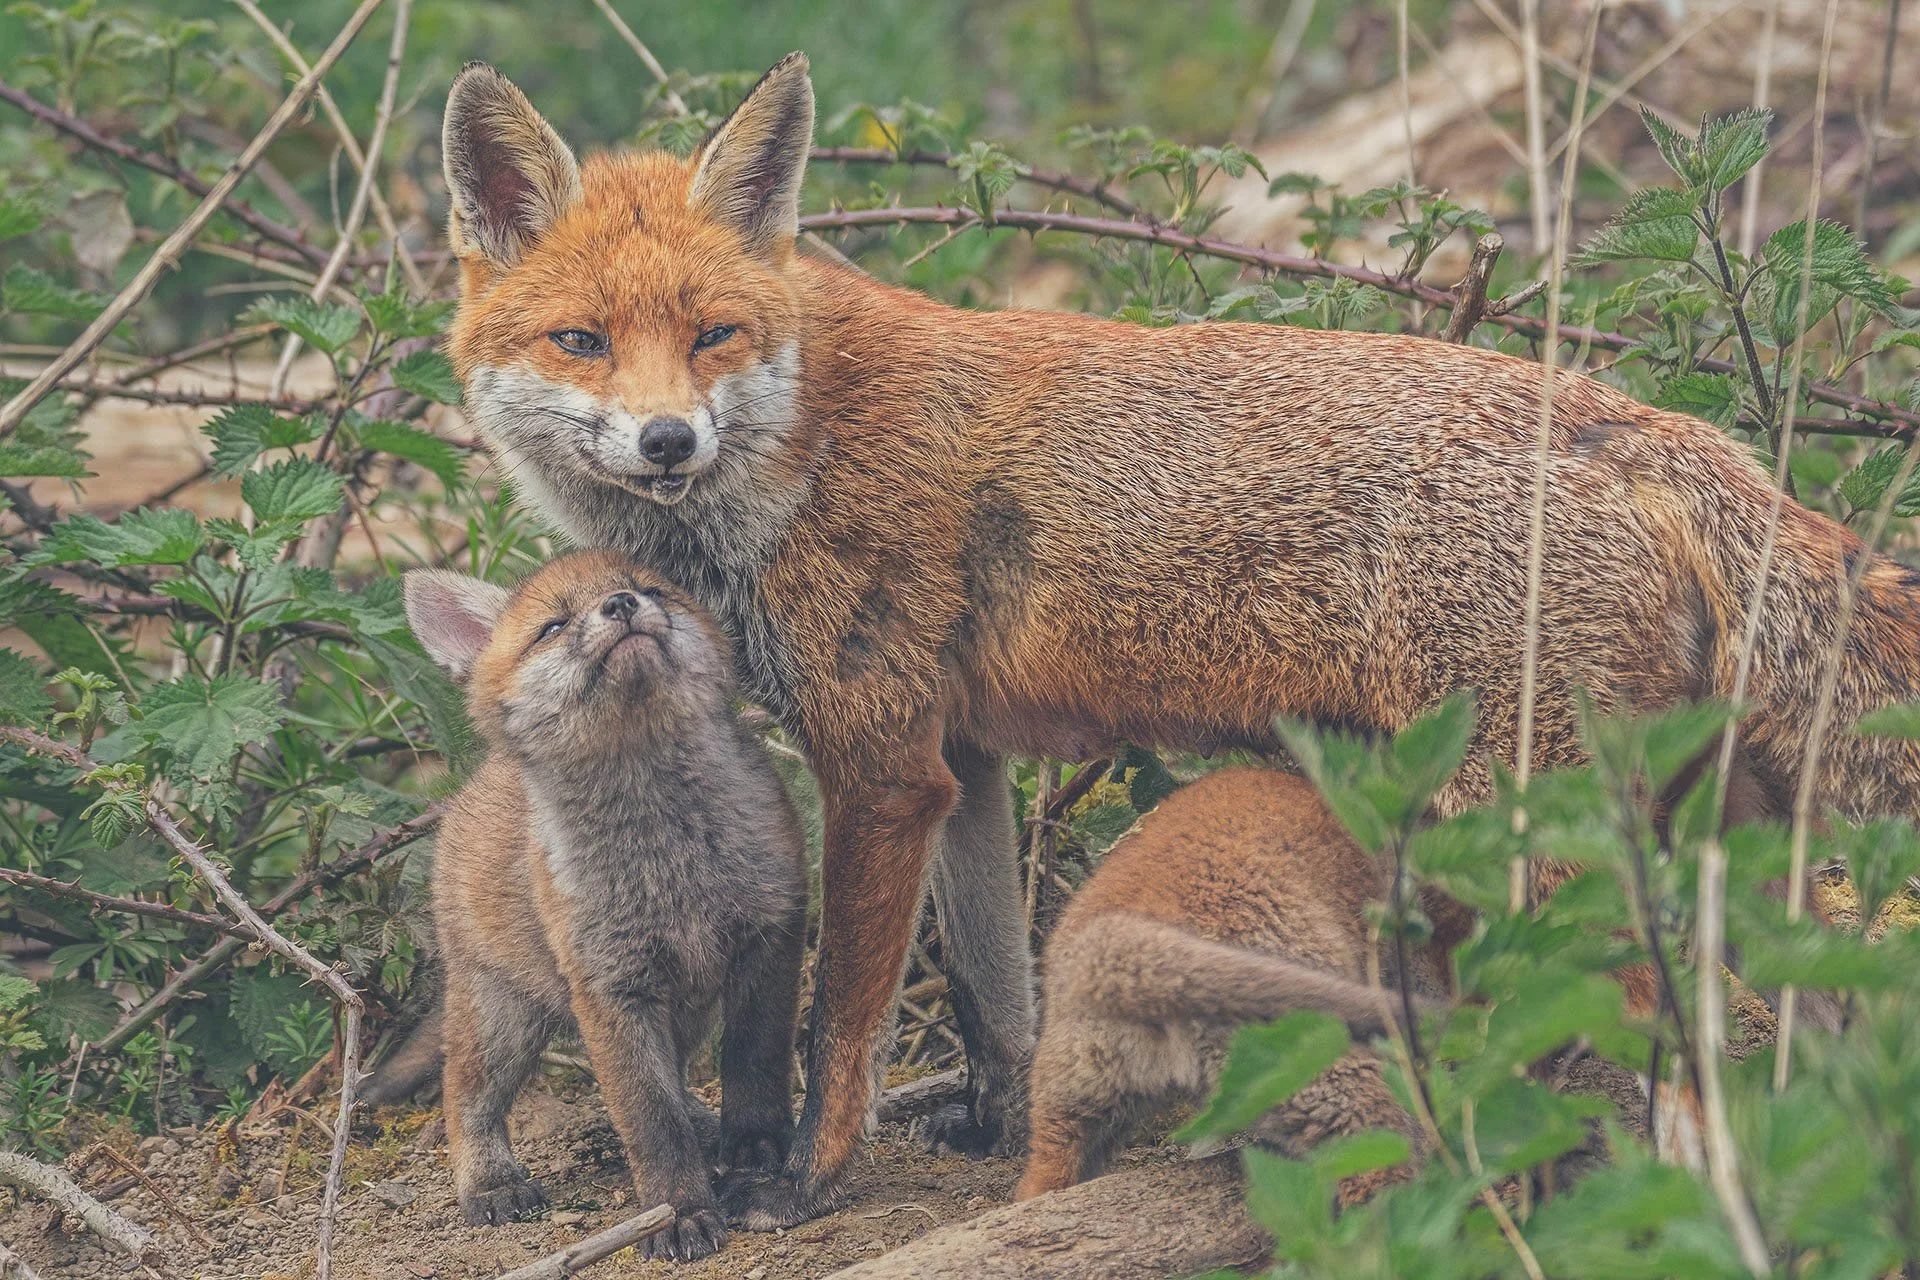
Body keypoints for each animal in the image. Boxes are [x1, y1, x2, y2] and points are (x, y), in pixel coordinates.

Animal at [399, 550, 807, 1262]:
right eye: (553, 626)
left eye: (654, 590)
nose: (620, 604)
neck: (669, 859)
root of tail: (473, 784)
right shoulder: (610, 986)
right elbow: (650, 1121)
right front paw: (677, 1213)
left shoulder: (770, 937)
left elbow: (754, 1067)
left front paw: (756, 1153)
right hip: (503, 1019)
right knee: (463, 1095)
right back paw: (490, 1181)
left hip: (685, 1011)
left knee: (679, 1076)